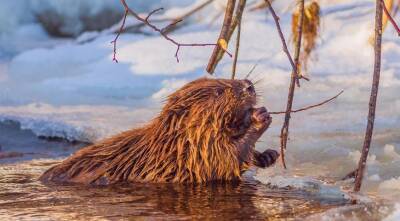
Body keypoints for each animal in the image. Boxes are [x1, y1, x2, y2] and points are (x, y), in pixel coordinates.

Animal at [40, 77, 278, 185]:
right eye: (219, 91)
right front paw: (260, 117)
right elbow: (222, 162)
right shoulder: (195, 154)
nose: (249, 85)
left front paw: (268, 155)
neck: (173, 143)